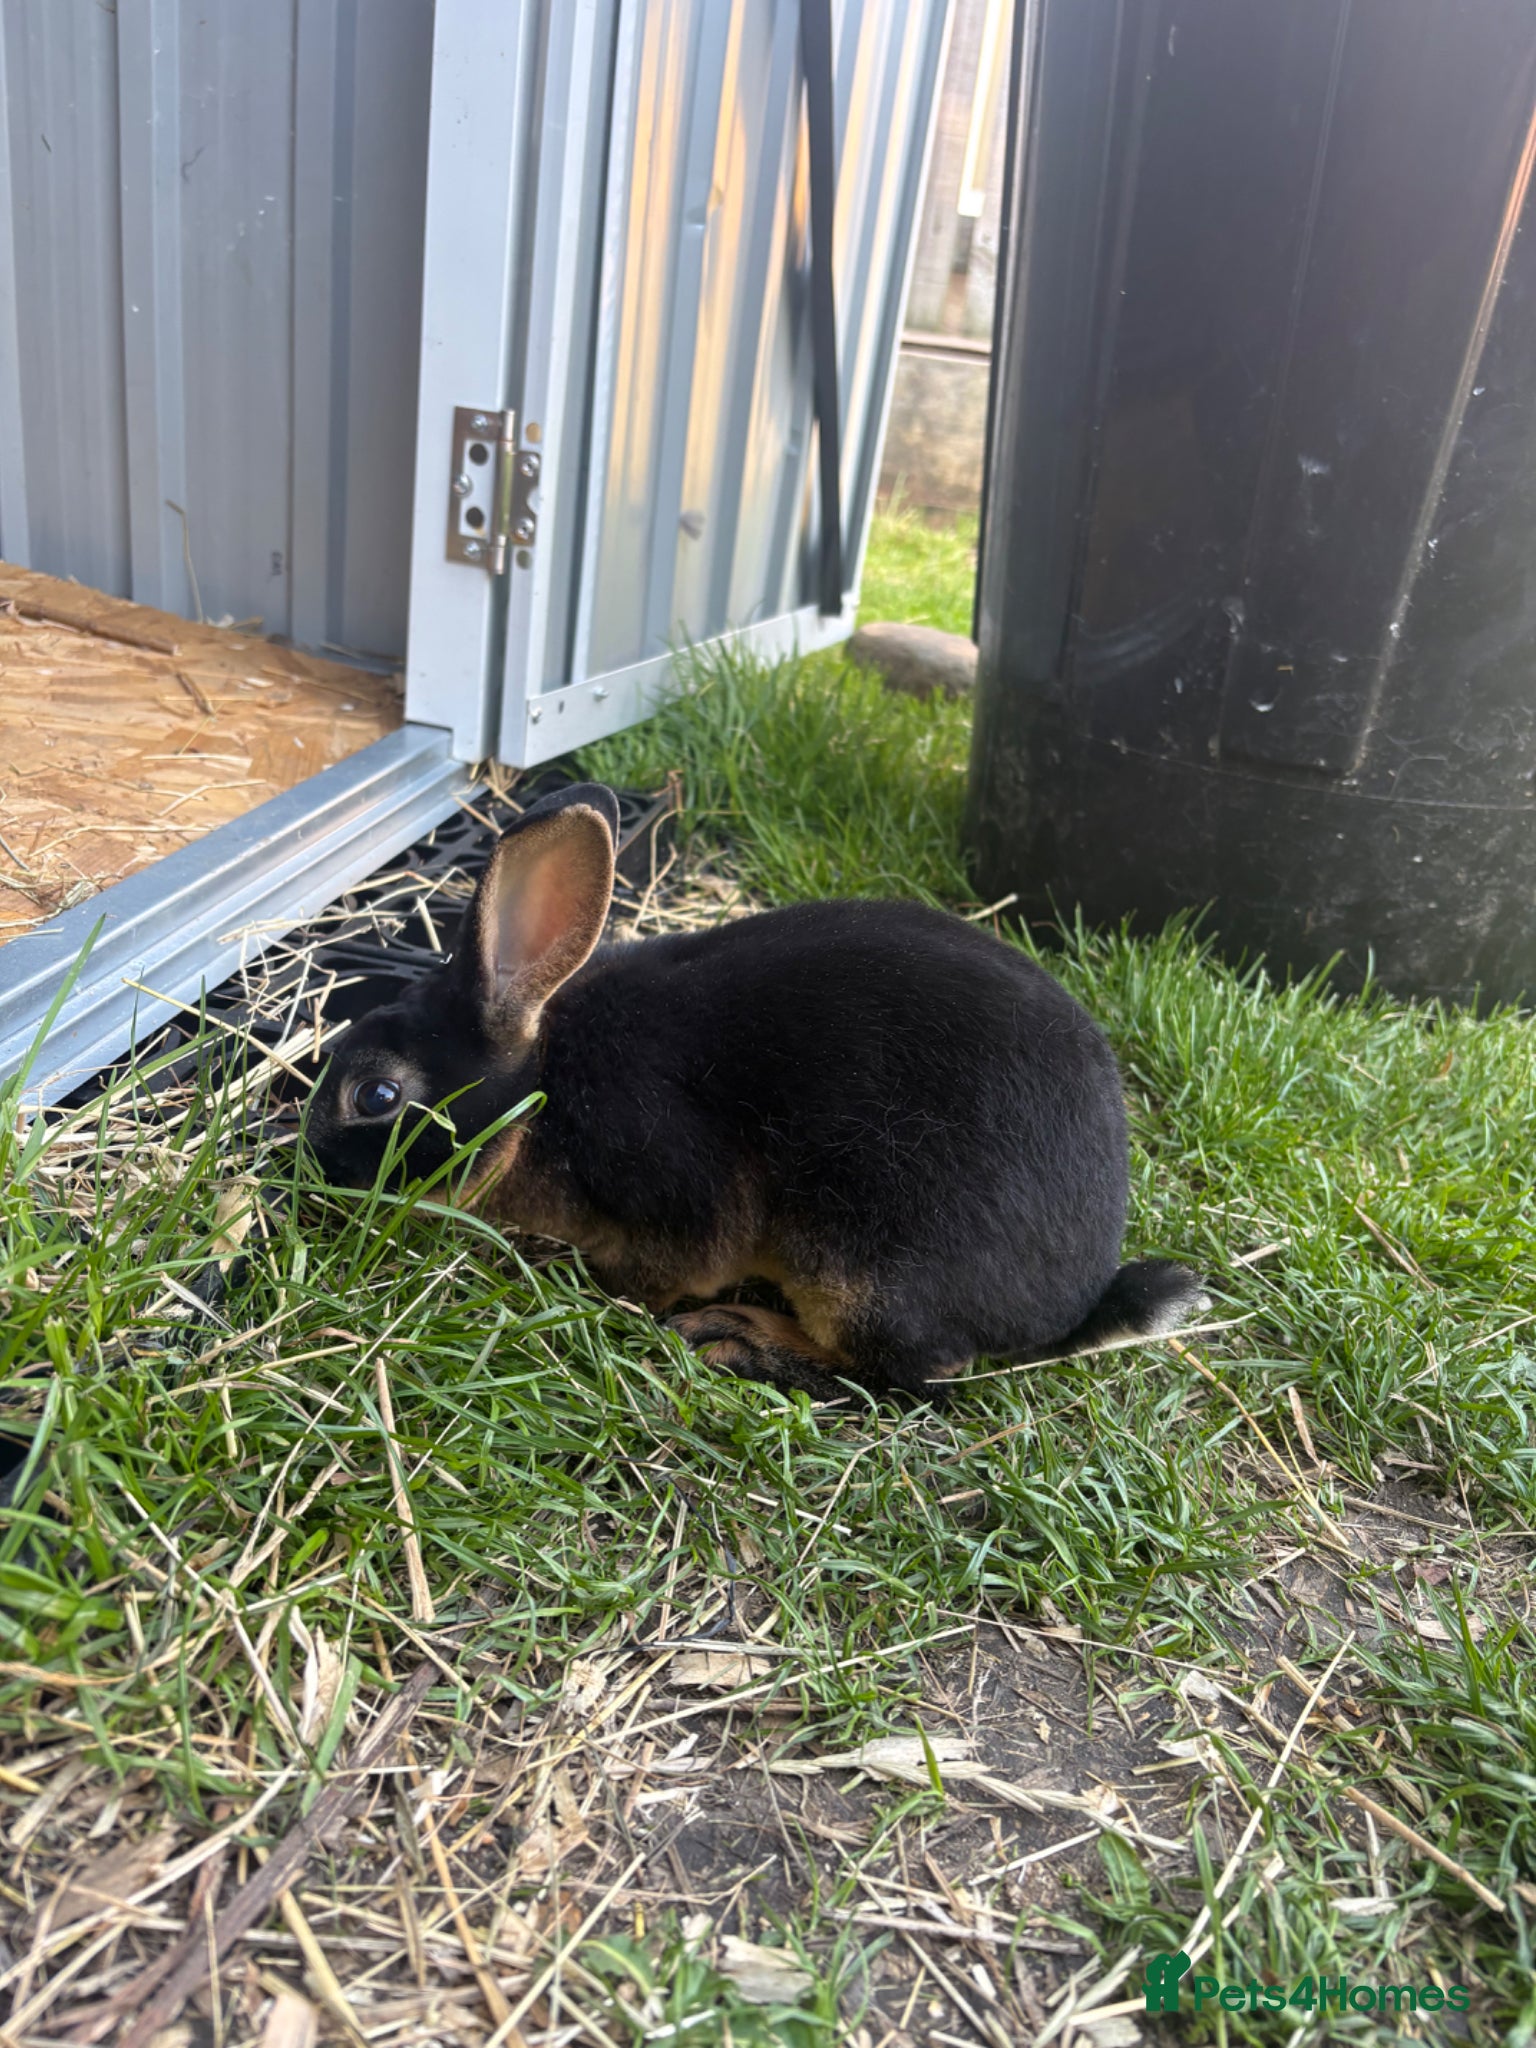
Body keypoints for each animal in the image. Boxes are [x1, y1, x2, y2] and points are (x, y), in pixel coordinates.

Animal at [307, 781, 1207, 1399]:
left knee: (916, 1370)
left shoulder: (678, 1194)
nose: (311, 1175)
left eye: (376, 1097)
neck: (544, 1094)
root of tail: (1072, 1305)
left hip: (863, 1269)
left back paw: (739, 1336)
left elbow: (665, 1268)